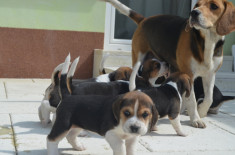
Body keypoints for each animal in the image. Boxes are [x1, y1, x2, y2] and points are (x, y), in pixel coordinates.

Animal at [101, 0, 235, 128]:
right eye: (197, 5)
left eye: (214, 6)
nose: (193, 13)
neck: (208, 41)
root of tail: (144, 19)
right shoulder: (189, 75)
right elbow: (192, 101)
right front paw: (196, 119)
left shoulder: (210, 75)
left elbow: (209, 98)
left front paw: (201, 112)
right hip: (138, 58)